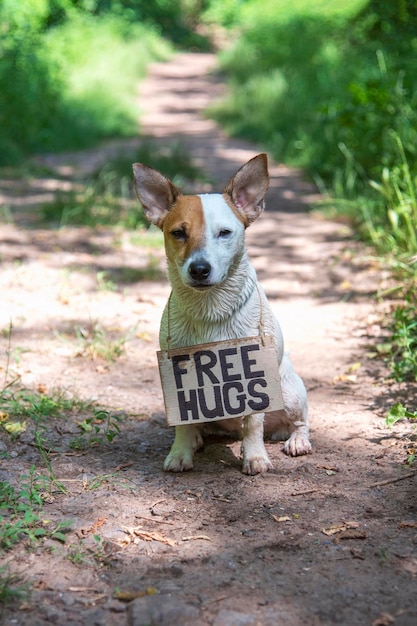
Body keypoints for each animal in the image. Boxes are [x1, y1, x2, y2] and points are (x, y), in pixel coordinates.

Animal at [132, 152, 310, 472]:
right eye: (178, 233)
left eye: (225, 233)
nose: (199, 269)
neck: (209, 310)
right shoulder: (176, 375)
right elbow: (183, 421)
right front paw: (180, 452)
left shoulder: (255, 372)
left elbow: (253, 423)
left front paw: (254, 457)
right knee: (198, 425)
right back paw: (197, 438)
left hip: (290, 393)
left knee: (299, 422)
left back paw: (297, 440)